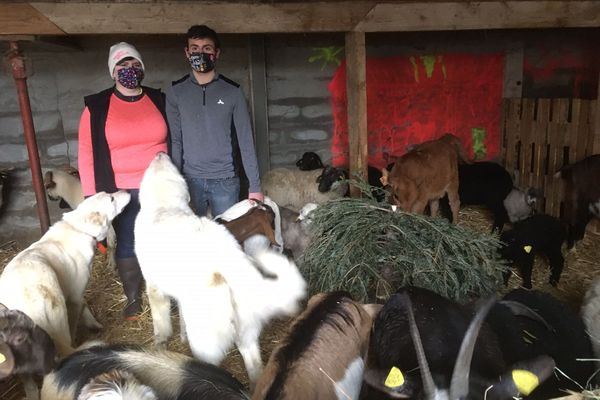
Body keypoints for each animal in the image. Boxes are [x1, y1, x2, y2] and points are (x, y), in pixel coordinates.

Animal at [134, 152, 308, 386]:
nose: (161, 153)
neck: (165, 207)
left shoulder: (154, 285)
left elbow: (161, 317)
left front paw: (161, 341)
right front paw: (181, 336)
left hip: (208, 334)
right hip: (245, 325)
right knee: (254, 363)